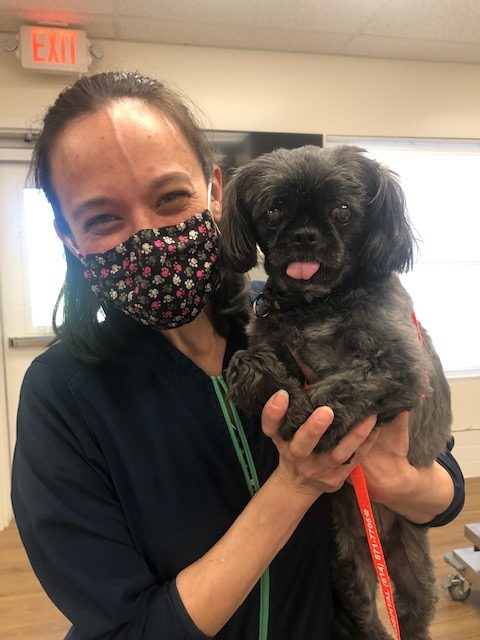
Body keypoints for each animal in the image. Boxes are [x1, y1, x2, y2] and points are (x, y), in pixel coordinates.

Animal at [219, 146, 452, 640]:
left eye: (343, 212)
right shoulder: (267, 334)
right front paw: (274, 388)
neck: (317, 303)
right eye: (274, 211)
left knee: (410, 616)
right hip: (347, 564)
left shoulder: (400, 366)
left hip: (414, 574)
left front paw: (302, 415)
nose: (305, 236)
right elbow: (246, 361)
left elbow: (340, 388)